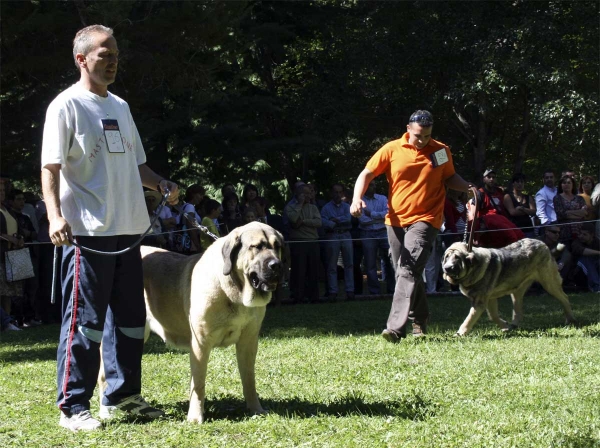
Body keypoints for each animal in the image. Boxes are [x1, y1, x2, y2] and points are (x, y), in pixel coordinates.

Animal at [101, 222, 284, 422]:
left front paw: (256, 409)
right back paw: (106, 412)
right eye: (256, 247)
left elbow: (249, 379)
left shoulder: (248, 342)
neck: (235, 292)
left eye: (277, 246)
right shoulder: (200, 343)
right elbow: (198, 384)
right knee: (103, 375)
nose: (276, 265)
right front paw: (195, 417)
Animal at [440, 238, 576, 336]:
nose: (447, 268)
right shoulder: (490, 299)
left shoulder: (480, 302)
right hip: (517, 291)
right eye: (447, 257)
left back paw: (570, 319)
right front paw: (504, 325)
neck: (473, 268)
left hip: (549, 283)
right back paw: (513, 325)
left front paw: (461, 332)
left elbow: (469, 318)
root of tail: (543, 245)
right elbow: (493, 316)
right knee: (518, 311)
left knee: (564, 298)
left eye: (457, 258)